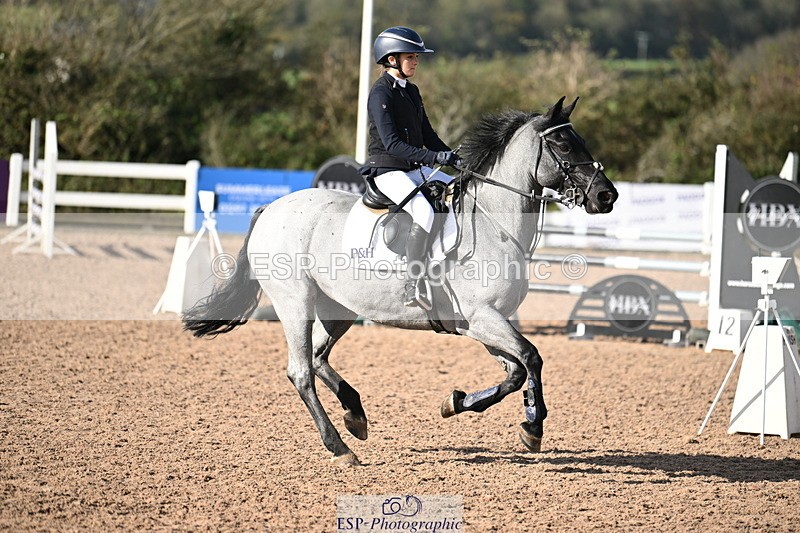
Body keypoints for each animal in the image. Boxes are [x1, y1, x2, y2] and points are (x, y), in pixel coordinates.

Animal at [183, 96, 618, 466]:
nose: (607, 196)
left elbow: (515, 372)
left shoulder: (486, 322)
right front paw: (534, 426)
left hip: (338, 308)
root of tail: (271, 208)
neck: (493, 223)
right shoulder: (481, 318)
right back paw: (340, 447)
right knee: (301, 371)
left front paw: (457, 403)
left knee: (319, 357)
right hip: (294, 303)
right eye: (564, 146)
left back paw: (355, 415)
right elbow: (531, 358)